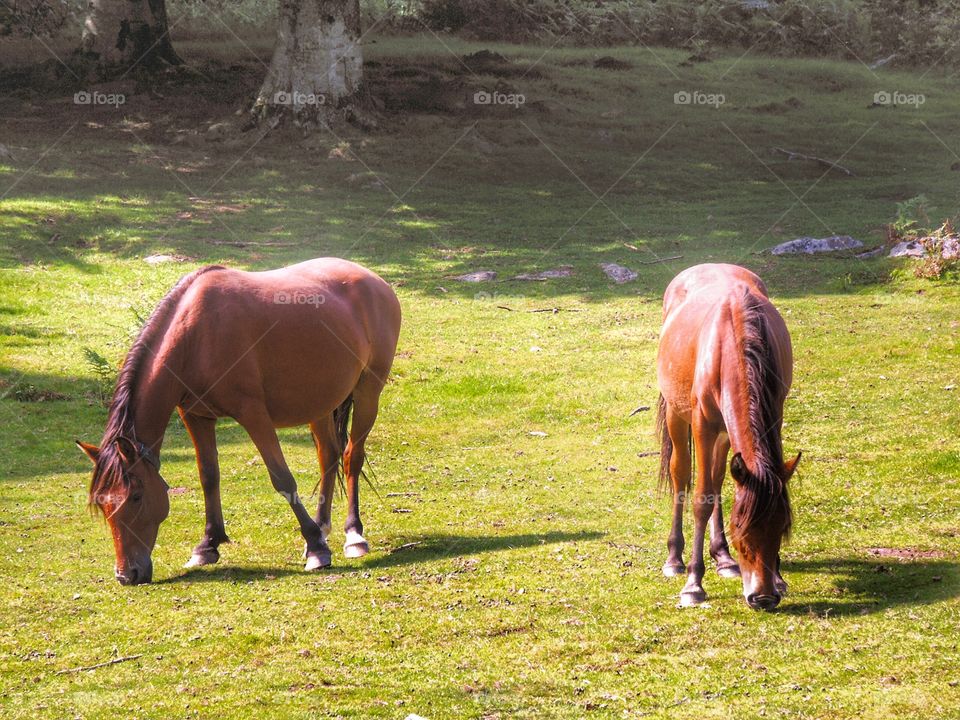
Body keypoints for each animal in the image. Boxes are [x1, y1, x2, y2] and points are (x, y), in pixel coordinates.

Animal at [76, 258, 402, 584]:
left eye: (136, 497)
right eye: (103, 503)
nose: (126, 574)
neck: (196, 336)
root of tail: (375, 281)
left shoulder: (253, 414)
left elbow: (282, 478)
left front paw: (315, 548)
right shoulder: (196, 415)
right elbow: (209, 476)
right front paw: (208, 545)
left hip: (368, 393)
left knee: (351, 458)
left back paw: (353, 535)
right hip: (320, 405)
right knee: (329, 458)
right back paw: (322, 526)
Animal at [656, 262, 800, 612]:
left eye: (782, 528)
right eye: (741, 531)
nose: (763, 597)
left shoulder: (774, 416)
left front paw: (778, 577)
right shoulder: (703, 425)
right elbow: (701, 498)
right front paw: (693, 585)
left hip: (725, 434)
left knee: (720, 477)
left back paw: (722, 557)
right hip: (678, 417)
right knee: (682, 475)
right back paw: (674, 558)